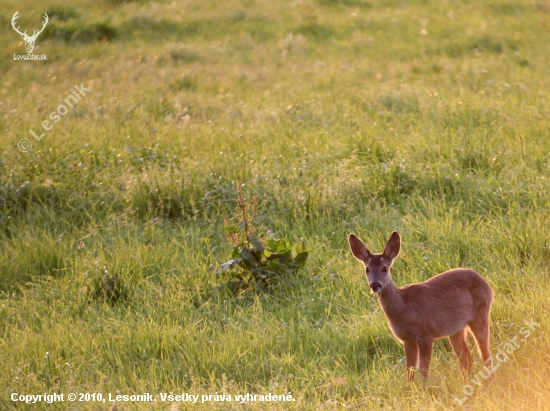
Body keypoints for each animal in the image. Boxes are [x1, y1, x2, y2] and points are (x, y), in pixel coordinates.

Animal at [352, 232, 498, 384]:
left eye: (385, 268)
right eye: (367, 269)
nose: (375, 285)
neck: (404, 308)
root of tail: (487, 285)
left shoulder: (426, 334)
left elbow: (423, 371)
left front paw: (424, 388)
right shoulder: (407, 339)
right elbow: (410, 372)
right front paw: (411, 389)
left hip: (480, 314)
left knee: (485, 355)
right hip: (456, 328)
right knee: (466, 358)